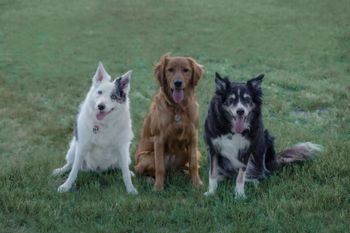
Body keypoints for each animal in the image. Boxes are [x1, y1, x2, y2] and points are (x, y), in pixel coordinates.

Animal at [52, 62, 137, 195]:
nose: (100, 106)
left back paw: (130, 172)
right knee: (70, 164)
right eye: (100, 92)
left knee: (121, 167)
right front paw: (66, 186)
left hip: (126, 156)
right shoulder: (82, 146)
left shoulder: (122, 148)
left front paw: (130, 189)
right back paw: (60, 170)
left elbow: (125, 174)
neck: (103, 125)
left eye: (113, 96)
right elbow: (73, 171)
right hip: (73, 148)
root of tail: (98, 170)